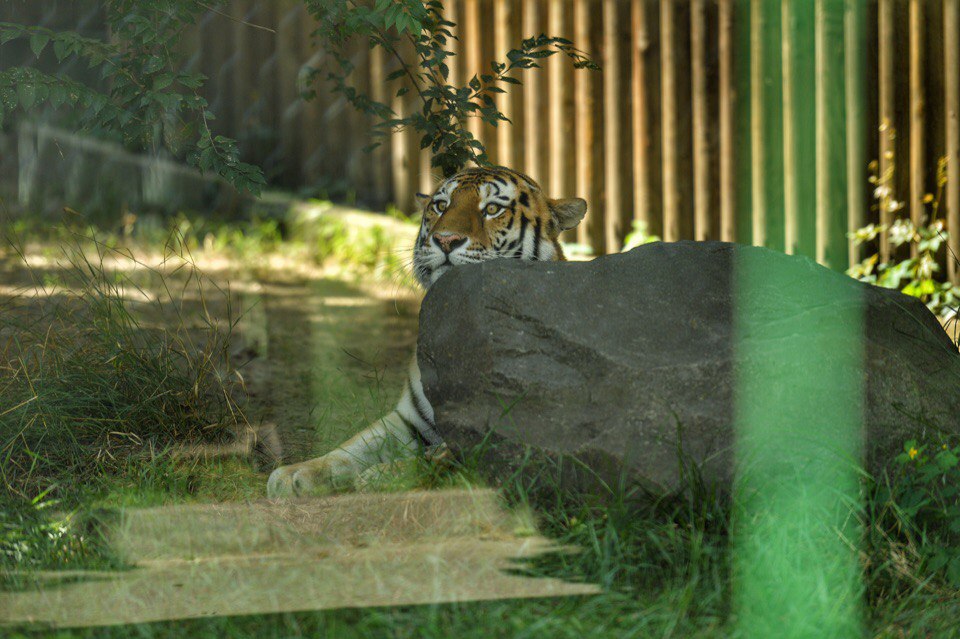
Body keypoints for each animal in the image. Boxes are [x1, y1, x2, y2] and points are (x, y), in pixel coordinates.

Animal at [266, 166, 588, 500]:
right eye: (441, 205)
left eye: (492, 209)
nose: (446, 240)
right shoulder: (409, 419)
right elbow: (354, 445)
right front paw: (295, 473)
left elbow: (447, 457)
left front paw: (383, 475)